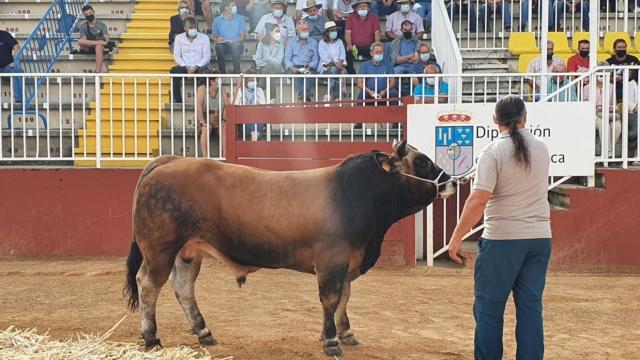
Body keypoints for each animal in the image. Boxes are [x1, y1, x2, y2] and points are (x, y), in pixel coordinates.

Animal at [125, 139, 456, 356]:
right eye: (423, 162)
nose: (452, 182)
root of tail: (171, 160)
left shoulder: (347, 262)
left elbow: (344, 298)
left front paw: (346, 333)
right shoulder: (332, 261)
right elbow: (330, 300)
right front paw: (331, 341)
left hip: (187, 252)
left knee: (183, 288)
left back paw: (204, 332)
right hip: (160, 249)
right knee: (148, 285)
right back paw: (152, 339)